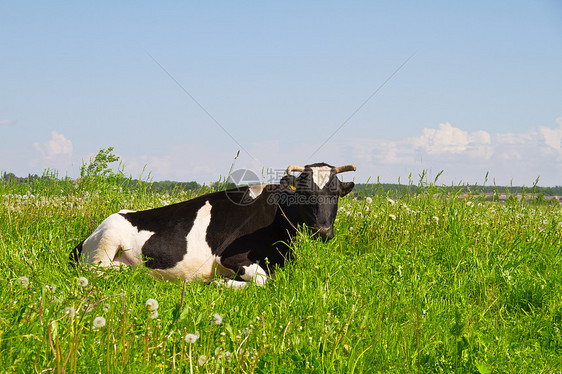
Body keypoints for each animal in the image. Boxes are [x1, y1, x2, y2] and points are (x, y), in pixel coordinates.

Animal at [70, 162, 354, 288]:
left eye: (336, 193)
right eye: (305, 193)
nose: (323, 231)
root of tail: (87, 238)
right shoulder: (229, 257)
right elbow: (264, 281)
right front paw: (220, 283)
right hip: (107, 241)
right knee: (97, 272)